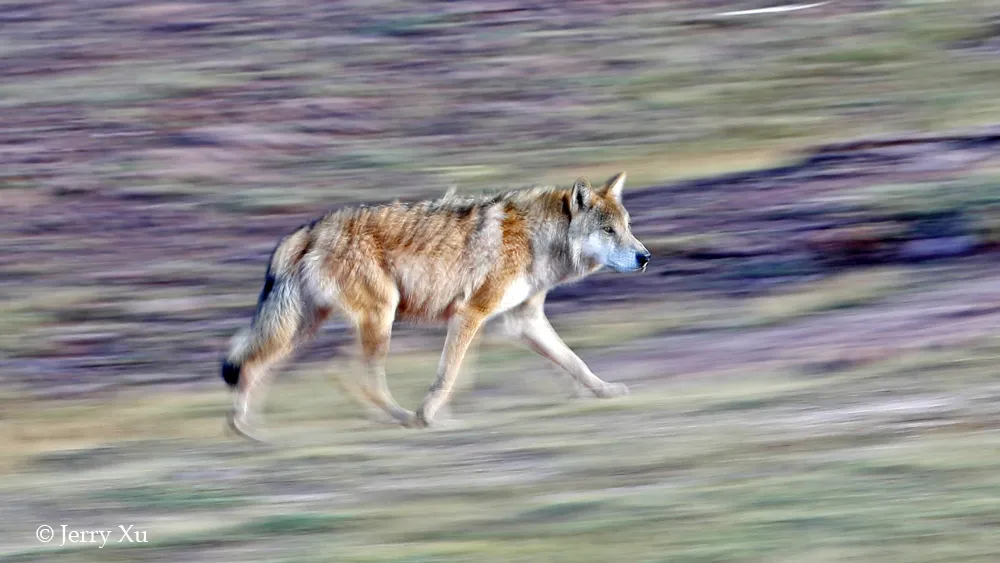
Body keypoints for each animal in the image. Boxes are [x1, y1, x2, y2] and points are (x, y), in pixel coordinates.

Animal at [223, 172, 652, 440]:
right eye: (608, 230)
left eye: (628, 227)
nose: (646, 257)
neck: (540, 239)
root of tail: (309, 229)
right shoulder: (470, 313)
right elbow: (449, 375)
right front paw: (432, 416)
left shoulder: (522, 321)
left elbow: (574, 362)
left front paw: (605, 390)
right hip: (377, 318)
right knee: (347, 370)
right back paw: (405, 419)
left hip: (306, 328)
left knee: (256, 366)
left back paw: (248, 431)